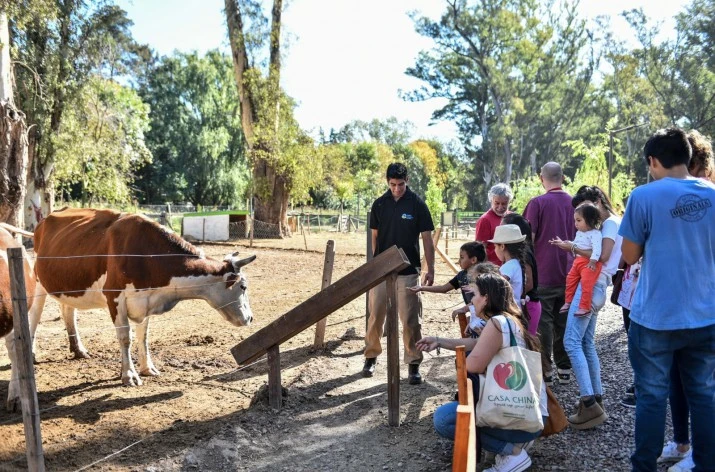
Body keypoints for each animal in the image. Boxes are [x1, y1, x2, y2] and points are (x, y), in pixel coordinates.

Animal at [33, 208, 258, 386]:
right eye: (244, 286)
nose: (250, 318)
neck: (147, 255)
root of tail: (46, 218)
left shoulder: (147, 299)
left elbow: (143, 336)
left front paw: (147, 368)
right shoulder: (115, 298)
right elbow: (125, 338)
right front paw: (129, 374)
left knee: (67, 310)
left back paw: (78, 349)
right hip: (37, 282)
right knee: (34, 317)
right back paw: (33, 353)